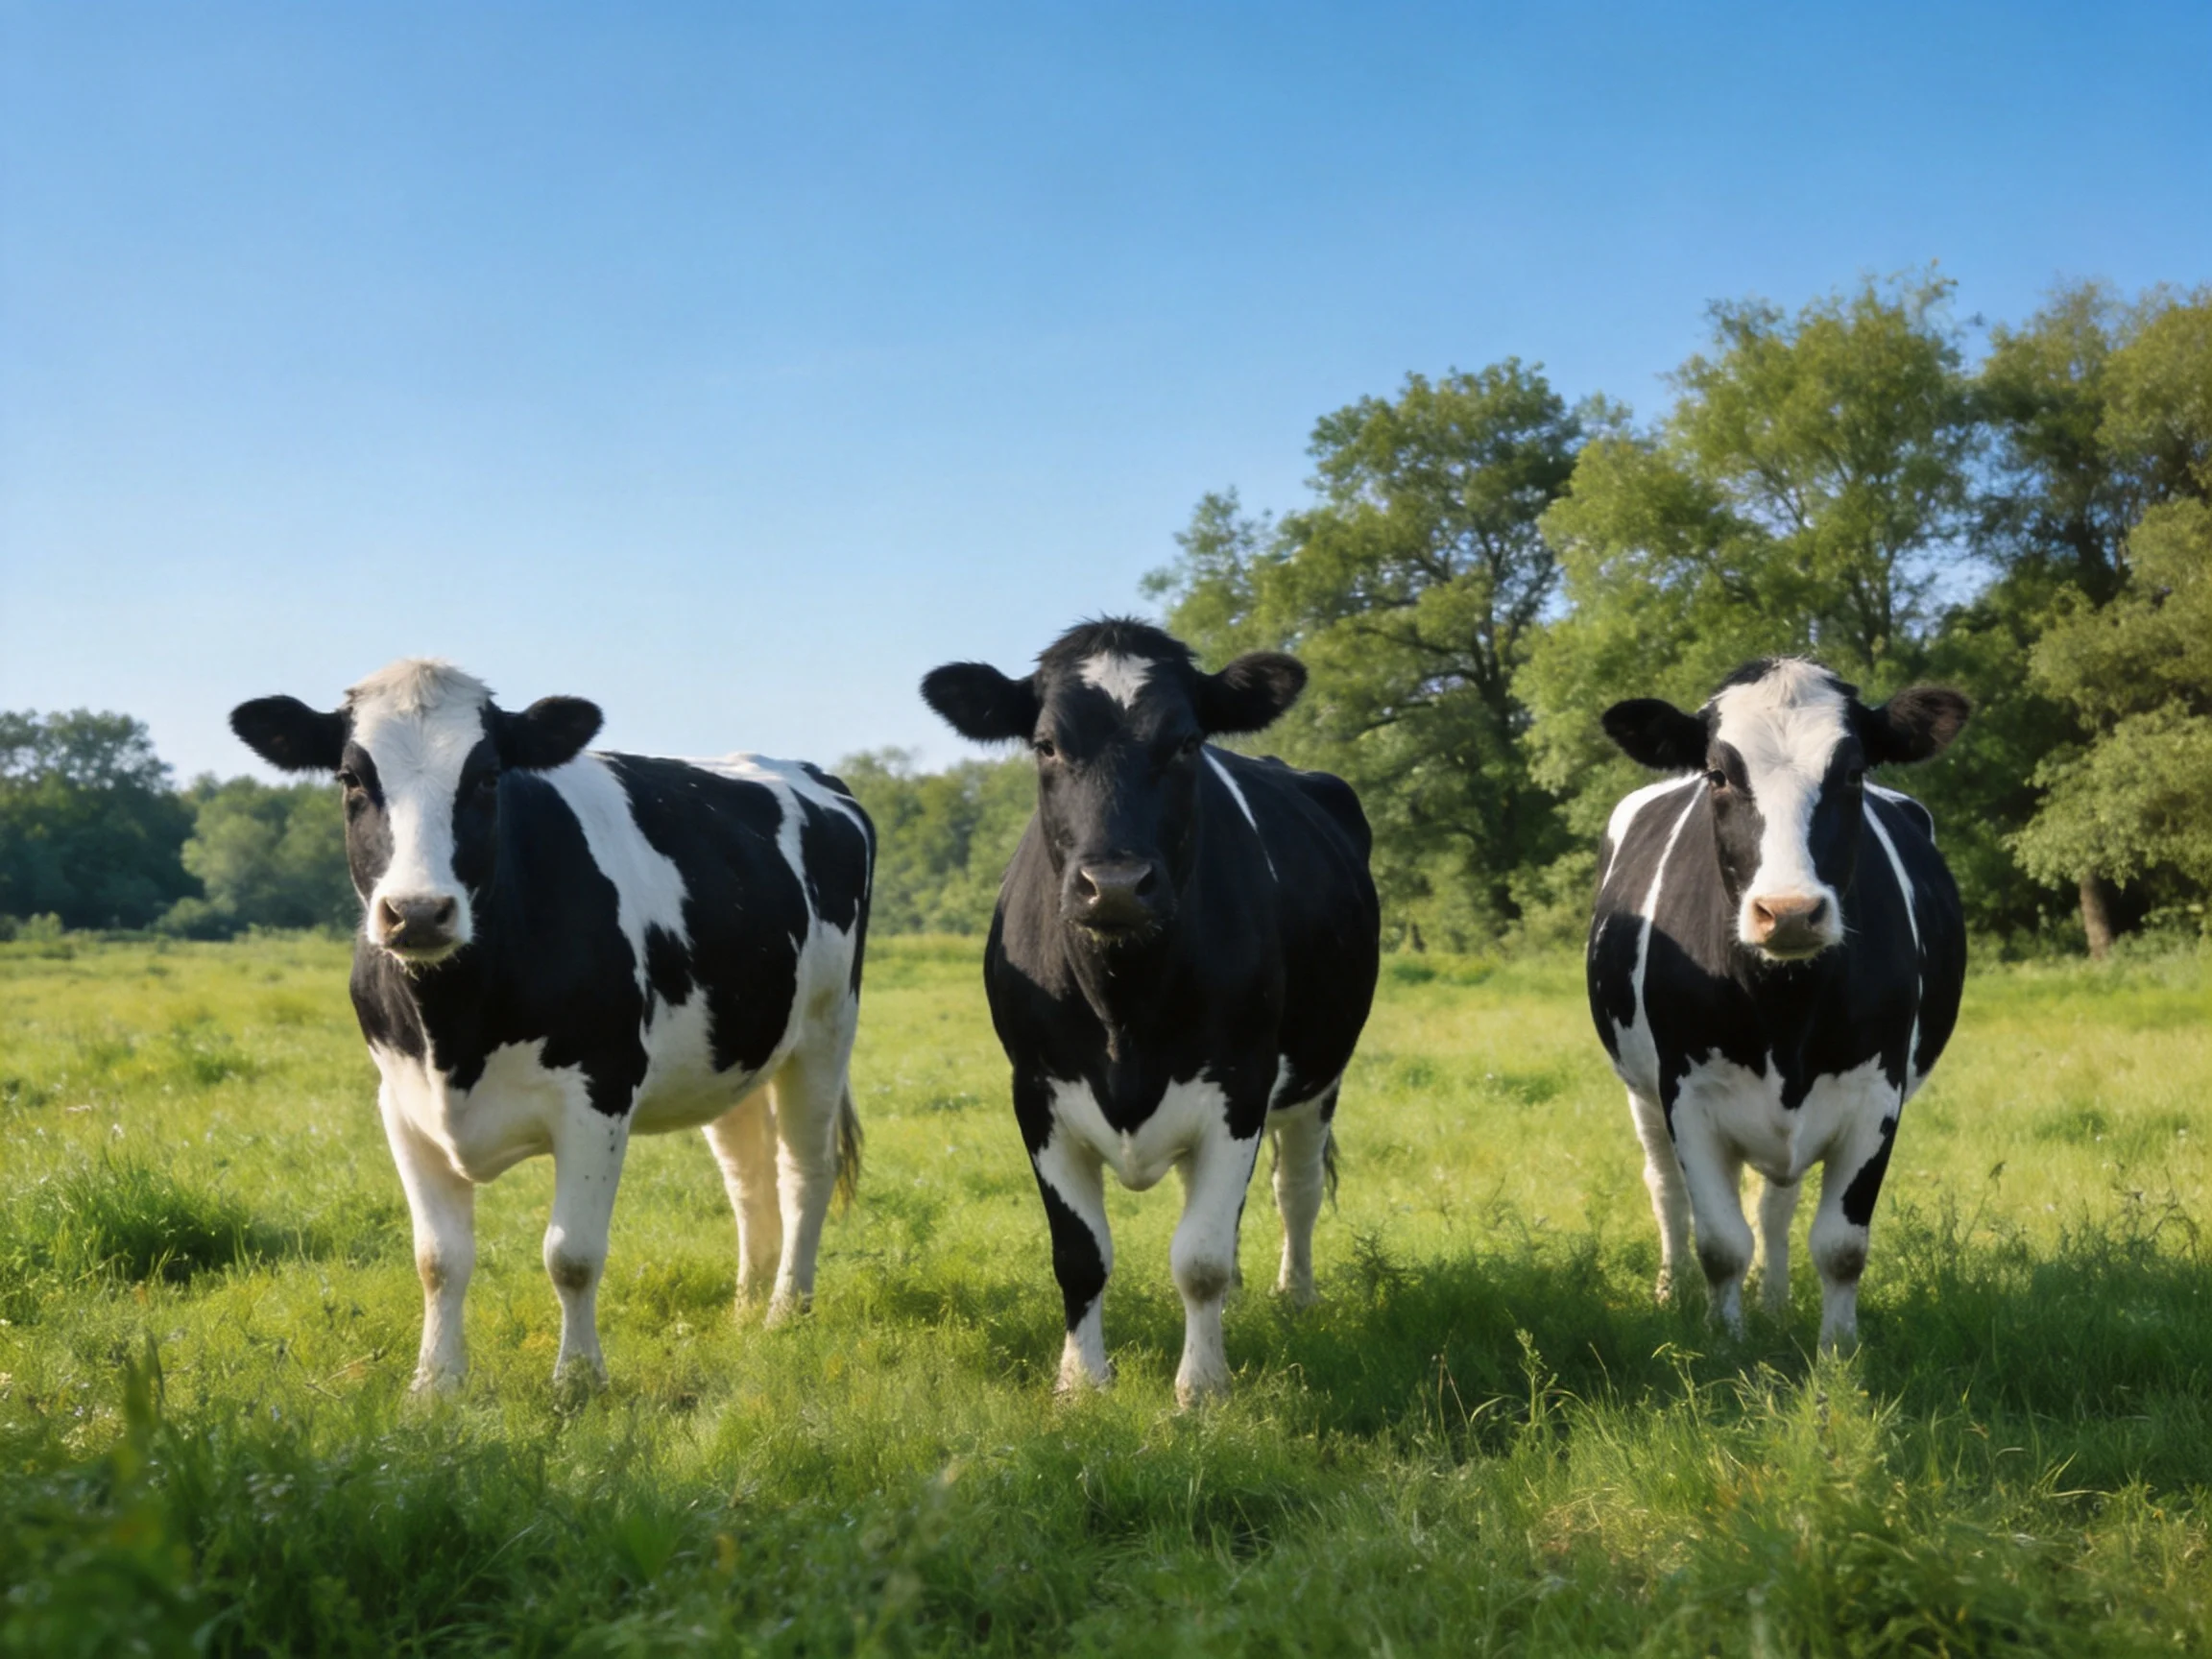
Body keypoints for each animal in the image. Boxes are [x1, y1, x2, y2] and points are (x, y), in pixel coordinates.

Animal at [229, 659, 872, 1396]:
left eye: (487, 776)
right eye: (350, 778)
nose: (418, 912)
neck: (453, 1031)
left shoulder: (600, 1093)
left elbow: (572, 1254)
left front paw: (579, 1380)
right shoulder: (400, 1102)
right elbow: (438, 1258)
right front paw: (435, 1384)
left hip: (825, 1032)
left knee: (805, 1171)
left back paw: (784, 1311)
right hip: (731, 1048)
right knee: (748, 1179)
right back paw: (744, 1308)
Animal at [921, 619, 1380, 1405]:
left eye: (1187, 742)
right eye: (1046, 744)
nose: (1114, 885)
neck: (1123, 1010)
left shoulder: (1240, 1085)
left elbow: (1199, 1258)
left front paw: (1201, 1390)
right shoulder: (1036, 1093)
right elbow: (1080, 1256)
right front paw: (1080, 1385)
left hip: (1318, 1080)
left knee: (1297, 1191)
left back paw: (1295, 1296)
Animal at [1588, 657, 1969, 1352]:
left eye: (1853, 772)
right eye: (1717, 774)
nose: (1789, 912)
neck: (1785, 1012)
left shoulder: (1877, 1094)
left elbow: (1841, 1247)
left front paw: (1837, 1354)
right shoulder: (1687, 1093)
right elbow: (1720, 1243)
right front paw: (1725, 1345)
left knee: (1775, 1205)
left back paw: (1776, 1303)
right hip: (1641, 1090)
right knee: (1666, 1189)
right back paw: (1671, 1291)